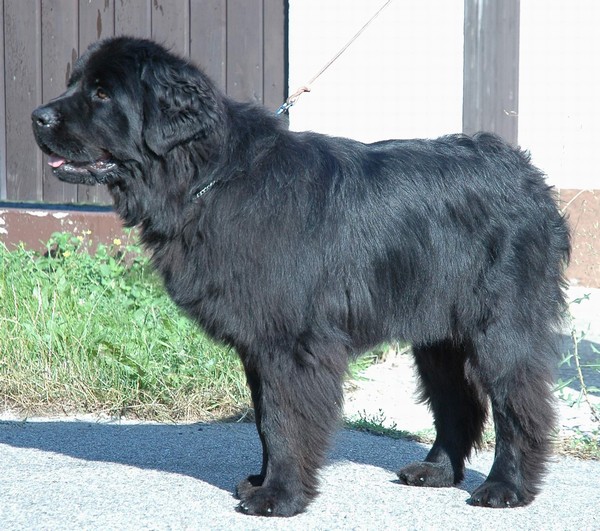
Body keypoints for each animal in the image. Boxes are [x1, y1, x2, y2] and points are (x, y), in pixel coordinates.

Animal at [32, 37, 570, 516]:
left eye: (102, 93)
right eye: (74, 83)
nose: (37, 116)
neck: (208, 178)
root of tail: (529, 177)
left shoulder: (292, 344)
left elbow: (285, 420)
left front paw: (278, 498)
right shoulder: (259, 342)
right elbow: (265, 420)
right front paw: (261, 481)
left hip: (501, 326)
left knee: (517, 402)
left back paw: (505, 488)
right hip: (437, 330)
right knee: (456, 400)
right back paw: (435, 471)